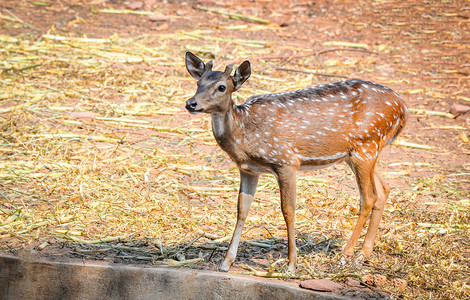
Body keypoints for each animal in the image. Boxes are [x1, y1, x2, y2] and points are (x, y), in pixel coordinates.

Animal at [184, 51, 408, 272]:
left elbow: (288, 210)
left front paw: (292, 264)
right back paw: (363, 254)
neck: (244, 135)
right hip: (358, 154)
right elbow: (242, 210)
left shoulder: (286, 162)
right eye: (198, 83)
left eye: (222, 87)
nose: (191, 103)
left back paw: (345, 255)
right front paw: (225, 263)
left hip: (366, 146)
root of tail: (402, 108)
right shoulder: (249, 170)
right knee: (384, 190)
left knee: (368, 197)